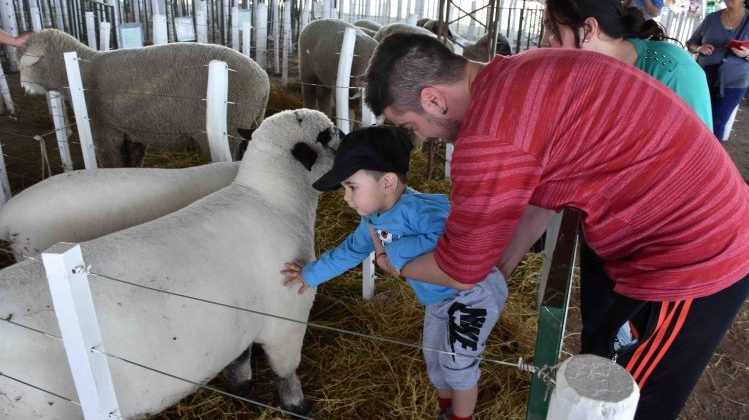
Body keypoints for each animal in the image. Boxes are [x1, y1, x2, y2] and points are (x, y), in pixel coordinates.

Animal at [17, 29, 270, 167]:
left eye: (29, 61)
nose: (22, 86)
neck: (81, 69)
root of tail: (264, 80)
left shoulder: (104, 131)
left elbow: (111, 163)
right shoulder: (131, 132)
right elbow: (132, 162)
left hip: (226, 129)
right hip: (249, 125)